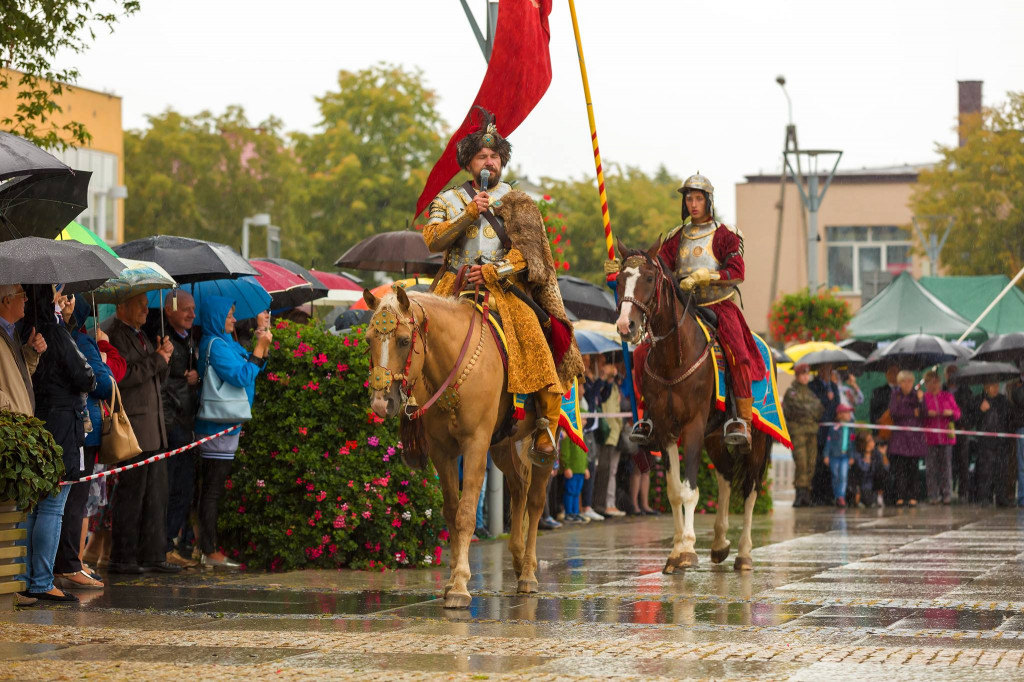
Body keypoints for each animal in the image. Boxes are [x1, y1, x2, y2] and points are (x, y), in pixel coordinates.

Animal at [362, 284, 552, 606]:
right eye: (369, 339)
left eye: (403, 341)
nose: (380, 403)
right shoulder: (443, 452)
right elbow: (451, 512)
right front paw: (451, 580)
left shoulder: (475, 444)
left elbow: (465, 514)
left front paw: (461, 585)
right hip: (502, 445)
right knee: (518, 489)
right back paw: (516, 560)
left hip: (545, 438)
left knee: (536, 500)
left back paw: (528, 572)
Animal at [614, 236, 770, 569]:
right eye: (620, 279)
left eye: (649, 278)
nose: (625, 327)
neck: (674, 357)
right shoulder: (665, 429)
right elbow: (674, 491)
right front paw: (676, 551)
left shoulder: (693, 427)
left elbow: (690, 490)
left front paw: (686, 549)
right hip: (715, 437)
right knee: (726, 476)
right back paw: (720, 543)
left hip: (756, 439)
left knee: (750, 488)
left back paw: (744, 553)